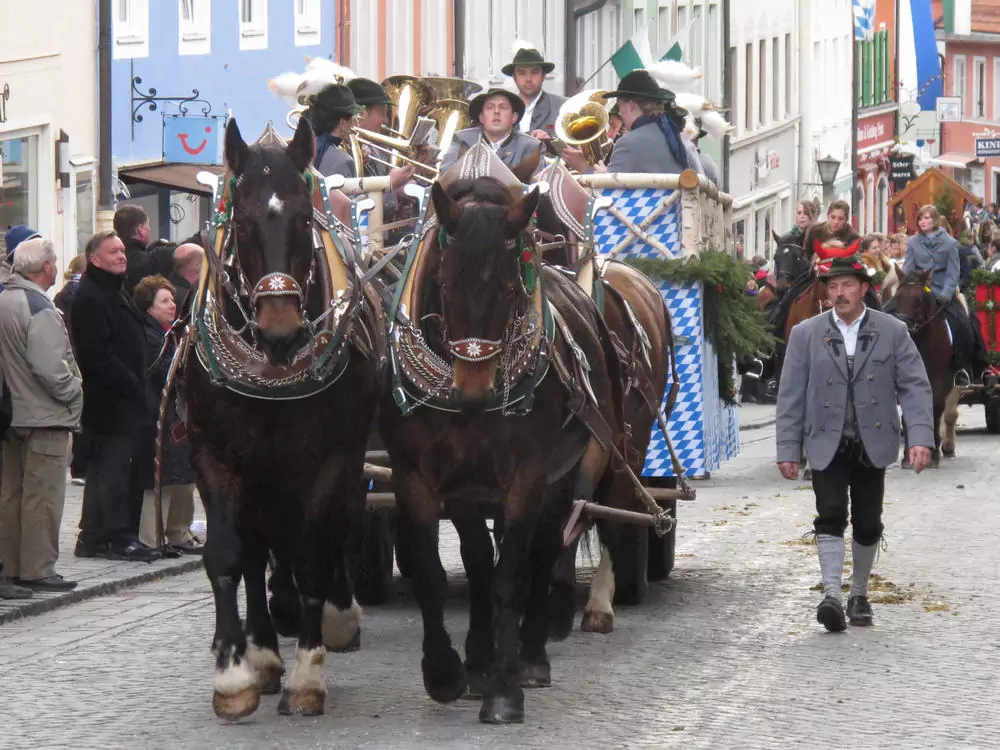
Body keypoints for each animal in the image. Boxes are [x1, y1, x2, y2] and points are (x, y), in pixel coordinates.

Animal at [179, 118, 383, 719]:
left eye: (303, 221)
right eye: (242, 224)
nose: (280, 328)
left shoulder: (329, 458)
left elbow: (315, 550)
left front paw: (308, 674)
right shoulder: (213, 453)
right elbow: (228, 554)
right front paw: (234, 674)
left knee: (338, 527)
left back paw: (332, 616)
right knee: (259, 548)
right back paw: (265, 648)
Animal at [380, 176, 627, 724]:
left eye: (511, 290)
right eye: (444, 284)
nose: (473, 393)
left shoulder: (527, 477)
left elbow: (510, 576)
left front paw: (504, 689)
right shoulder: (423, 478)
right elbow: (439, 572)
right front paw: (447, 671)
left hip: (566, 474)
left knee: (544, 552)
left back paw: (530, 657)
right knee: (480, 562)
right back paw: (479, 659)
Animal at [889, 271, 958, 465]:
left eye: (919, 298)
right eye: (898, 296)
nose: (903, 326)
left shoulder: (941, 379)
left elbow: (935, 409)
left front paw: (932, 452)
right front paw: (907, 455)